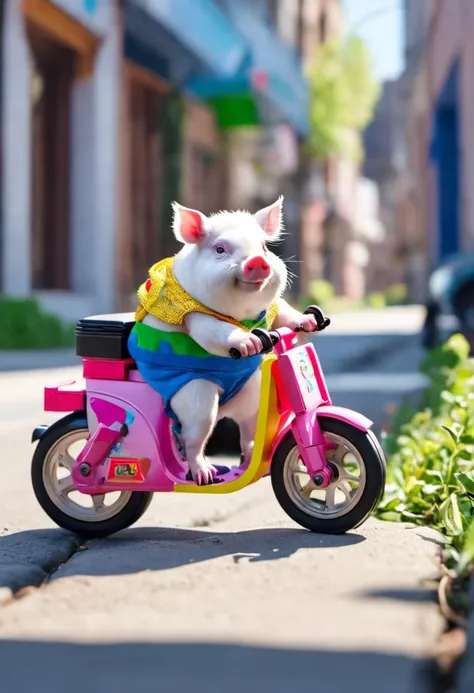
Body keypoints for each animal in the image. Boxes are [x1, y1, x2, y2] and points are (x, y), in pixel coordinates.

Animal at [137, 197, 316, 484]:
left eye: (264, 247)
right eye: (220, 249)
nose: (257, 260)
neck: (241, 315)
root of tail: (224, 407)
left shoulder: (271, 309)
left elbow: (284, 312)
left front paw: (309, 322)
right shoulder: (193, 313)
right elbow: (213, 332)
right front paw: (248, 344)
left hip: (252, 394)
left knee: (247, 432)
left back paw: (251, 463)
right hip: (195, 396)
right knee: (194, 435)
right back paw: (204, 476)